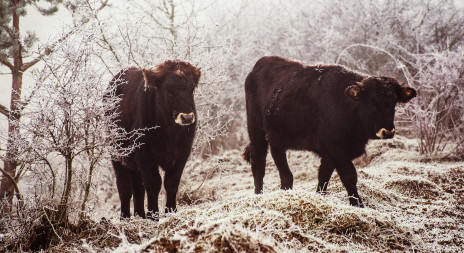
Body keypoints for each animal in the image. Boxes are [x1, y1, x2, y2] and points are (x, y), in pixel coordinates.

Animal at [111, 60, 201, 218]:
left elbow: (171, 182)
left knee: (138, 187)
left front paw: (171, 211)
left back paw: (140, 215)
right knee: (124, 187)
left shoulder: (182, 154)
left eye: (191, 89)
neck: (170, 132)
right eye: (169, 90)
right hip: (117, 154)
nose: (187, 117)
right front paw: (153, 215)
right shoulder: (144, 153)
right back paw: (125, 217)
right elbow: (153, 183)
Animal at [243, 56, 416, 207]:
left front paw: (320, 198)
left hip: (276, 138)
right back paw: (259, 195)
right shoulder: (337, 149)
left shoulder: (330, 153)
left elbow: (324, 176)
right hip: (259, 133)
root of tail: (260, 64)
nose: (387, 131)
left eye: (394, 102)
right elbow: (349, 176)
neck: (346, 104)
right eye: (372, 102)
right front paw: (358, 205)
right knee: (262, 165)